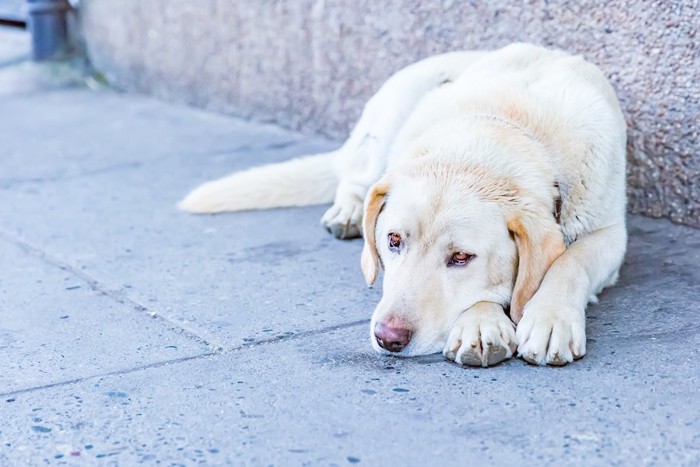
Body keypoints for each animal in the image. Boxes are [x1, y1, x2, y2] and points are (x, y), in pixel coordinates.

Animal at [180, 43, 628, 370]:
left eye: (462, 257)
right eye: (393, 240)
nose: (387, 338)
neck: (511, 122)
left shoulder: (612, 234)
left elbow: (569, 262)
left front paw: (548, 317)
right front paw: (483, 322)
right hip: (387, 119)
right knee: (355, 178)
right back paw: (347, 212)